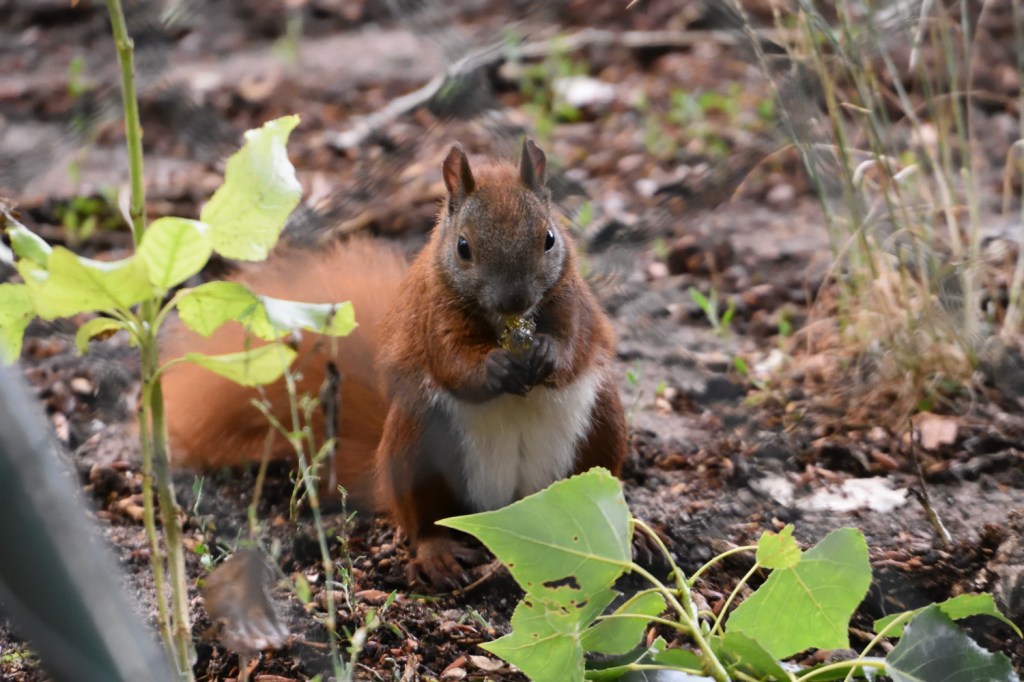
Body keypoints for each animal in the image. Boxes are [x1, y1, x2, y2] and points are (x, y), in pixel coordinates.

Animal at [160, 140, 628, 586]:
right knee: (424, 521)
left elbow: (574, 343)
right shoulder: (434, 316)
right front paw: (493, 369)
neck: (504, 325)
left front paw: (547, 353)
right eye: (463, 248)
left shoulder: (573, 300)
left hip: (603, 428)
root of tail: (511, 506)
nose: (515, 299)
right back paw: (438, 553)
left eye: (549, 238)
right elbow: (453, 363)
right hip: (415, 442)